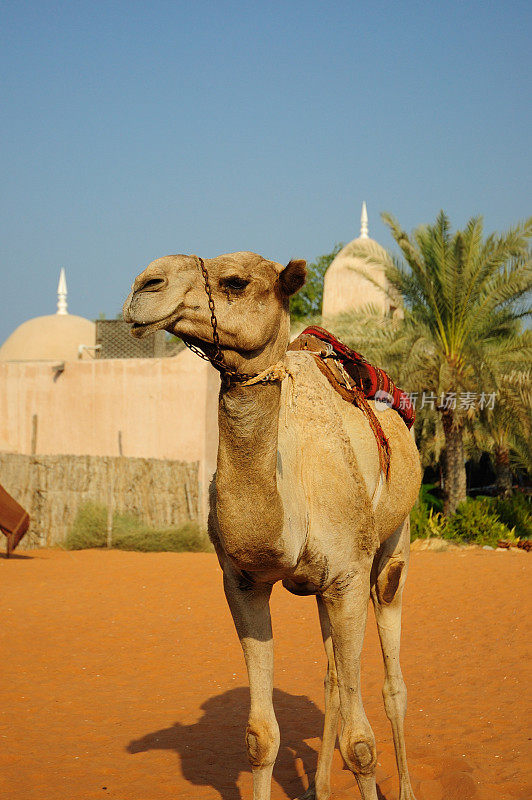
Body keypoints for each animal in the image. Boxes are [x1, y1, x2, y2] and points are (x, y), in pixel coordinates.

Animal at [122, 252, 422, 800]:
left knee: (392, 680)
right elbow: (261, 736)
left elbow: (361, 744)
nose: (145, 284)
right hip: (328, 589)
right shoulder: (243, 583)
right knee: (332, 680)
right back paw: (318, 787)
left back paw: (406, 788)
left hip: (393, 546)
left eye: (235, 282)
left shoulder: (349, 576)